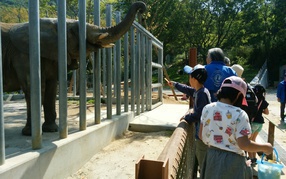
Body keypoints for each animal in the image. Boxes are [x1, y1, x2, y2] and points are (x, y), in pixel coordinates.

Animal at [0, 1, 145, 136]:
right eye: (76, 30)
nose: (142, 9)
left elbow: (51, 88)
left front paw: (51, 130)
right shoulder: (24, 55)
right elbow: (34, 87)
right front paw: (29, 133)